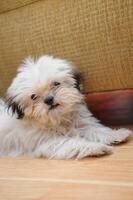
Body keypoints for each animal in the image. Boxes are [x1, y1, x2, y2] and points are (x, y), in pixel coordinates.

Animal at [0, 55, 131, 159]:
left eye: (56, 83)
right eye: (33, 97)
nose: (49, 99)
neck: (58, 118)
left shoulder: (81, 124)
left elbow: (95, 129)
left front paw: (116, 135)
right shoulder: (49, 141)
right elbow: (71, 143)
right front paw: (95, 147)